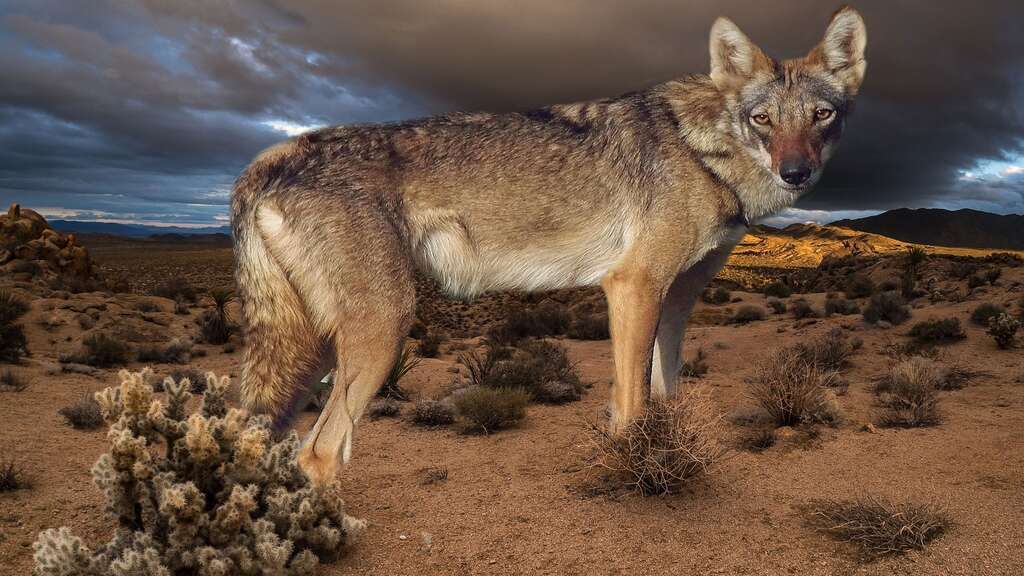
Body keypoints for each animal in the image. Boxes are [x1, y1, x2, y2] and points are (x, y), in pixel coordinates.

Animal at [230, 6, 864, 481]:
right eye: (762, 119)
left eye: (821, 115)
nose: (796, 173)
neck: (703, 149)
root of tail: (274, 155)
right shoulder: (633, 286)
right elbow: (632, 406)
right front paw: (633, 475)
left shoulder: (678, 301)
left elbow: (665, 393)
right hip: (382, 329)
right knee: (318, 453)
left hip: (315, 350)